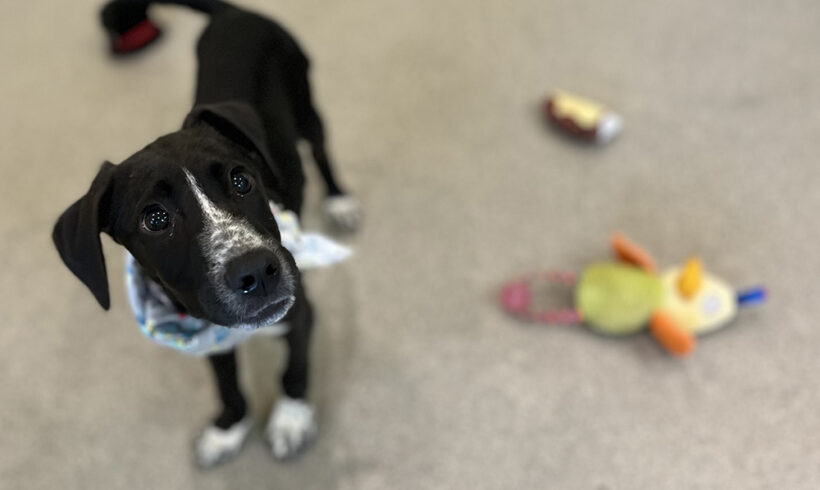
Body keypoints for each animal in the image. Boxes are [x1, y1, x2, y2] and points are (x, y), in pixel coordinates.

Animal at [52, 0, 358, 468]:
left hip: (306, 103)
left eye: (242, 180)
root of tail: (232, 14)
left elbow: (294, 368)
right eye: (155, 219)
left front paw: (290, 419)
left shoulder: (300, 309)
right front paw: (228, 429)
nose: (258, 271)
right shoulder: (203, 331)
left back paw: (339, 200)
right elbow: (226, 383)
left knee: (322, 151)